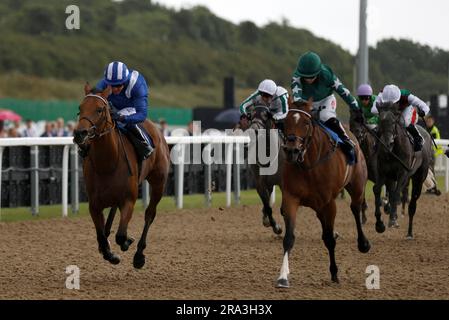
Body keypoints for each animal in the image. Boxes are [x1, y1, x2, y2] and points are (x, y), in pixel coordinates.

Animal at [73, 84, 170, 268]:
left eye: (99, 109)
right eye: (80, 108)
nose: (79, 133)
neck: (108, 163)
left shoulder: (128, 200)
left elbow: (121, 235)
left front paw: (126, 243)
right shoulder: (94, 205)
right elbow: (101, 236)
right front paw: (109, 253)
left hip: (159, 182)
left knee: (149, 214)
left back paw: (139, 254)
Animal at [276, 99, 372, 286]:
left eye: (306, 123)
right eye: (285, 123)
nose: (291, 150)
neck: (309, 165)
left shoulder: (329, 203)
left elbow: (329, 239)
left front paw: (334, 273)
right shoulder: (291, 198)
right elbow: (289, 238)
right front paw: (283, 277)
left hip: (357, 187)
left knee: (355, 208)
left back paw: (363, 243)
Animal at [372, 102, 430, 238]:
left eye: (394, 121)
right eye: (380, 121)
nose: (387, 143)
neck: (392, 151)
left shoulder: (403, 173)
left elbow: (396, 194)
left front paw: (393, 219)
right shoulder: (382, 171)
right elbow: (377, 189)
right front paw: (379, 223)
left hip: (418, 177)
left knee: (412, 203)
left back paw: (409, 233)